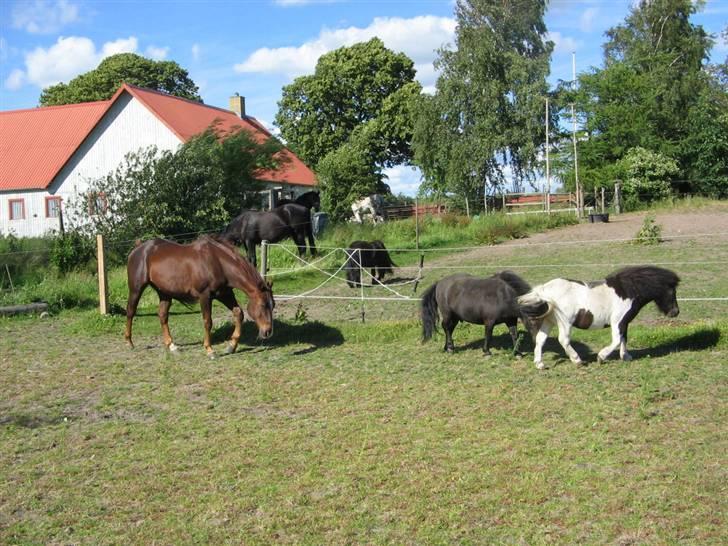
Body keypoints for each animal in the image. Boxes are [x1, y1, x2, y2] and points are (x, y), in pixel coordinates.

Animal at [123, 235, 274, 356]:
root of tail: (138, 248)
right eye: (263, 305)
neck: (217, 262)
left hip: (164, 293)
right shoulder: (205, 296)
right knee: (131, 311)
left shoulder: (224, 294)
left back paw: (172, 346)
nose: (268, 332)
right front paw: (210, 350)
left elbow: (239, 313)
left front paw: (231, 346)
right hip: (136, 289)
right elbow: (208, 322)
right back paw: (129, 342)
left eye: (272, 305)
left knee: (162, 316)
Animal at [516, 264, 684, 368]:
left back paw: (540, 364)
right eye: (672, 291)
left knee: (540, 339)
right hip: (565, 322)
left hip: (549, 321)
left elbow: (624, 338)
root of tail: (545, 290)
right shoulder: (617, 321)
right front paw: (601, 357)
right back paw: (577, 361)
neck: (628, 292)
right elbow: (617, 340)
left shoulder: (624, 323)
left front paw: (626, 357)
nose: (675, 312)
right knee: (563, 340)